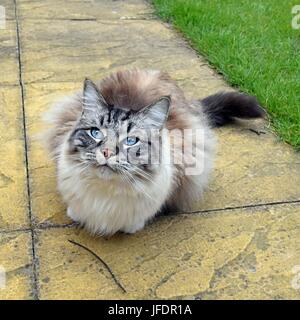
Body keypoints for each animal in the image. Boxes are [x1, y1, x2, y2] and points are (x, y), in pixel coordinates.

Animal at [42, 69, 264, 235]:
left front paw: (132, 227)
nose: (106, 153)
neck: (104, 195)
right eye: (96, 133)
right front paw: (75, 213)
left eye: (130, 141)